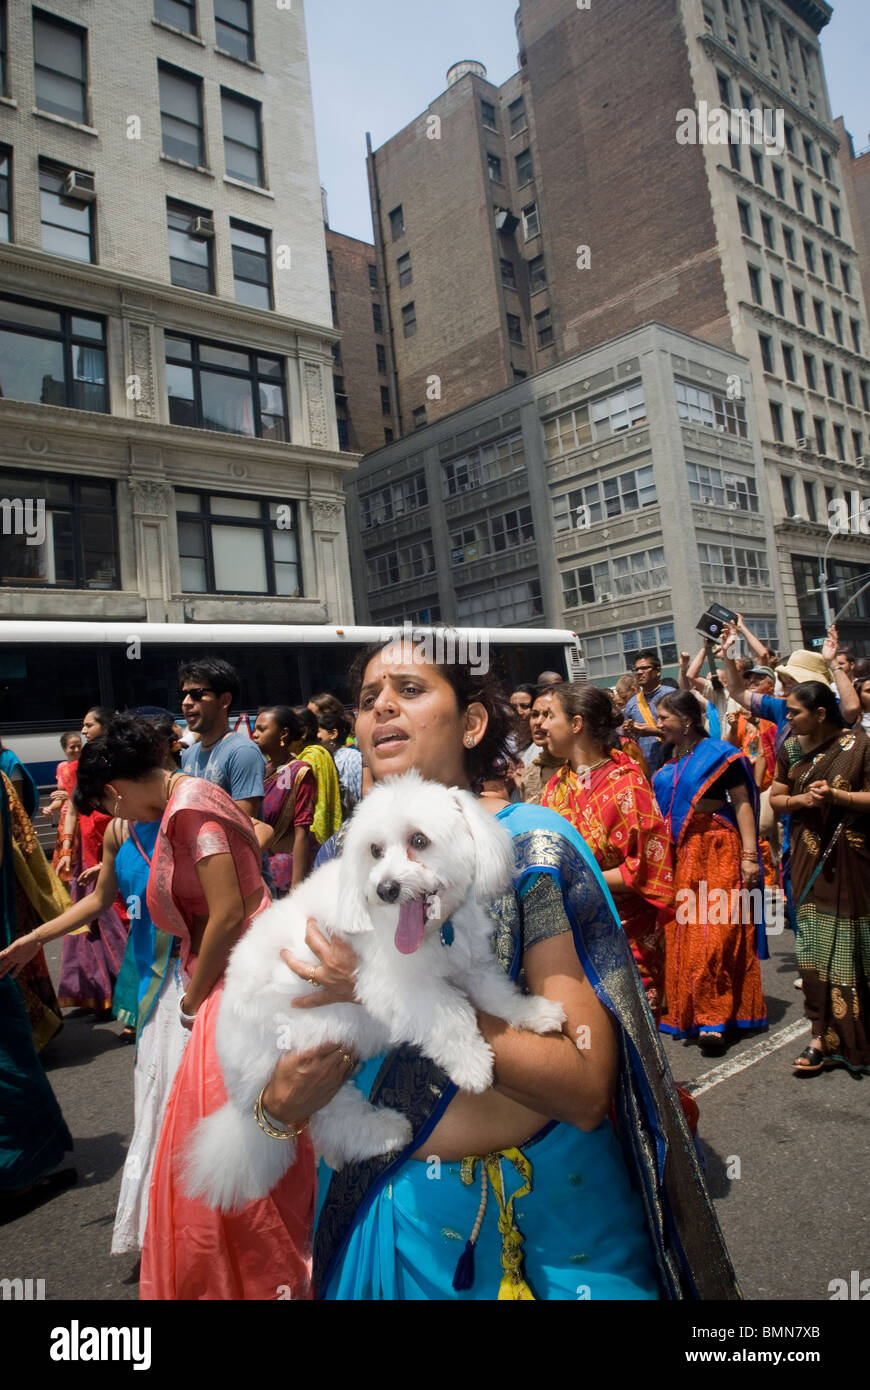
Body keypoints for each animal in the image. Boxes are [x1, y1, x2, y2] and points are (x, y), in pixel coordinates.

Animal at [183, 767, 561, 1212]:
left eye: (419, 841)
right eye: (375, 851)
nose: (386, 889)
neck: (436, 931)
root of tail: (241, 1101)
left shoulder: (468, 964)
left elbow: (499, 996)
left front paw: (534, 1013)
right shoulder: (399, 984)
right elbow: (449, 1014)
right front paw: (472, 1065)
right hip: (310, 1045)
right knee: (335, 1119)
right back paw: (388, 1131)